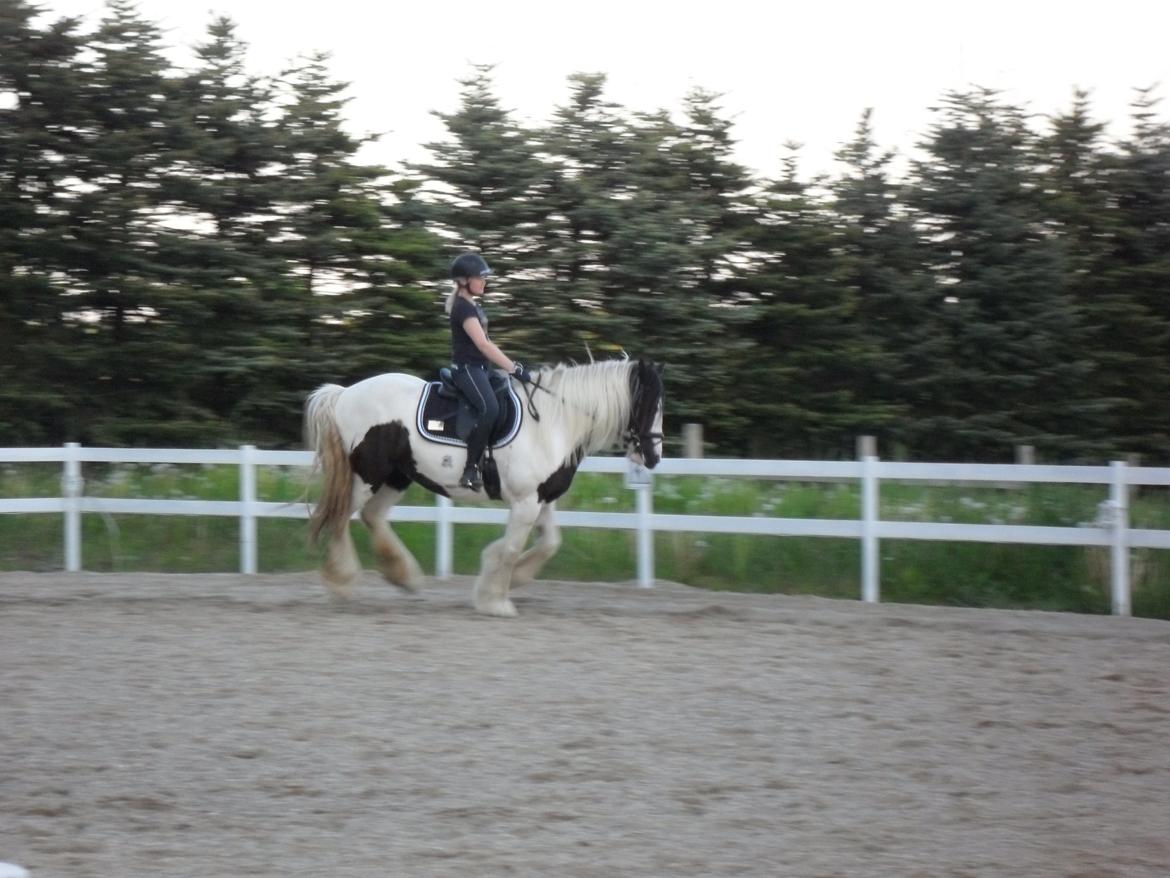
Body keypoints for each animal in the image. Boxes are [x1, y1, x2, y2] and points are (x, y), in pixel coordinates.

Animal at [306, 358, 664, 618]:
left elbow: (549, 543)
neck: (553, 424)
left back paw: (403, 576)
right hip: (367, 475)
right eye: (650, 403)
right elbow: (512, 549)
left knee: (372, 516)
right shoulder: (525, 502)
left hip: (397, 476)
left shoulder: (541, 500)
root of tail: (344, 394)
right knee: (341, 518)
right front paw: (496, 601)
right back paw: (342, 582)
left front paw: (507, 578)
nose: (654, 456)